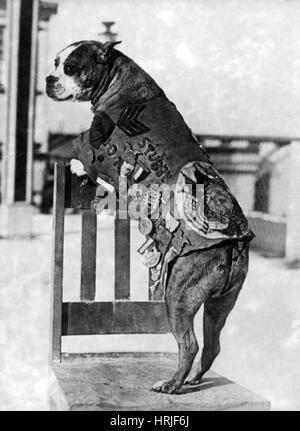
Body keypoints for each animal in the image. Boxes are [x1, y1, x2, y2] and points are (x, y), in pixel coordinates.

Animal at [46, 40, 253, 394]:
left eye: (70, 67)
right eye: (55, 63)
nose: (48, 79)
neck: (119, 79)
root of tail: (234, 242)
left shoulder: (95, 145)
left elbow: (79, 155)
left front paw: (72, 165)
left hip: (178, 296)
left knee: (189, 344)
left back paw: (171, 385)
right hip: (220, 305)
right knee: (212, 345)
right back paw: (193, 379)